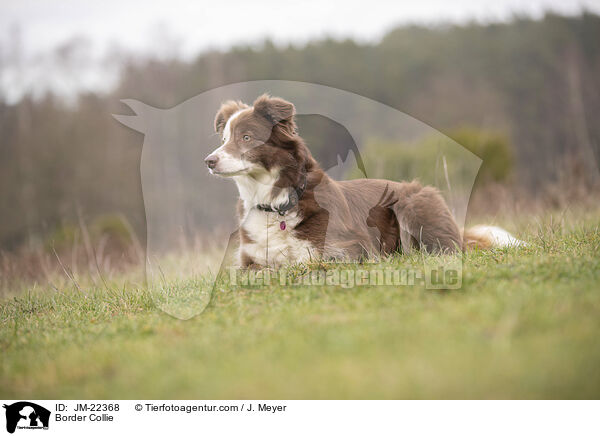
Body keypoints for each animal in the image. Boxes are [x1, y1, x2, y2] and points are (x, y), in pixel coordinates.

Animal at [205, 93, 520, 268]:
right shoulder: (249, 260)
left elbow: (305, 261)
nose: (209, 161)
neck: (276, 204)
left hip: (412, 204)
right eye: (223, 140)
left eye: (246, 137)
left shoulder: (350, 248)